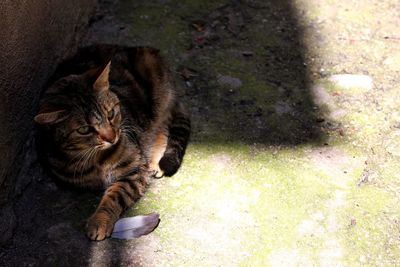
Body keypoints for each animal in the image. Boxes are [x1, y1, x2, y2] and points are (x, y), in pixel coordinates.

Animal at [34, 45, 191, 242]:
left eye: (110, 114)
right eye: (84, 130)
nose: (112, 137)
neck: (96, 160)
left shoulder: (134, 169)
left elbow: (115, 196)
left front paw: (99, 221)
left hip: (159, 96)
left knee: (163, 125)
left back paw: (156, 161)